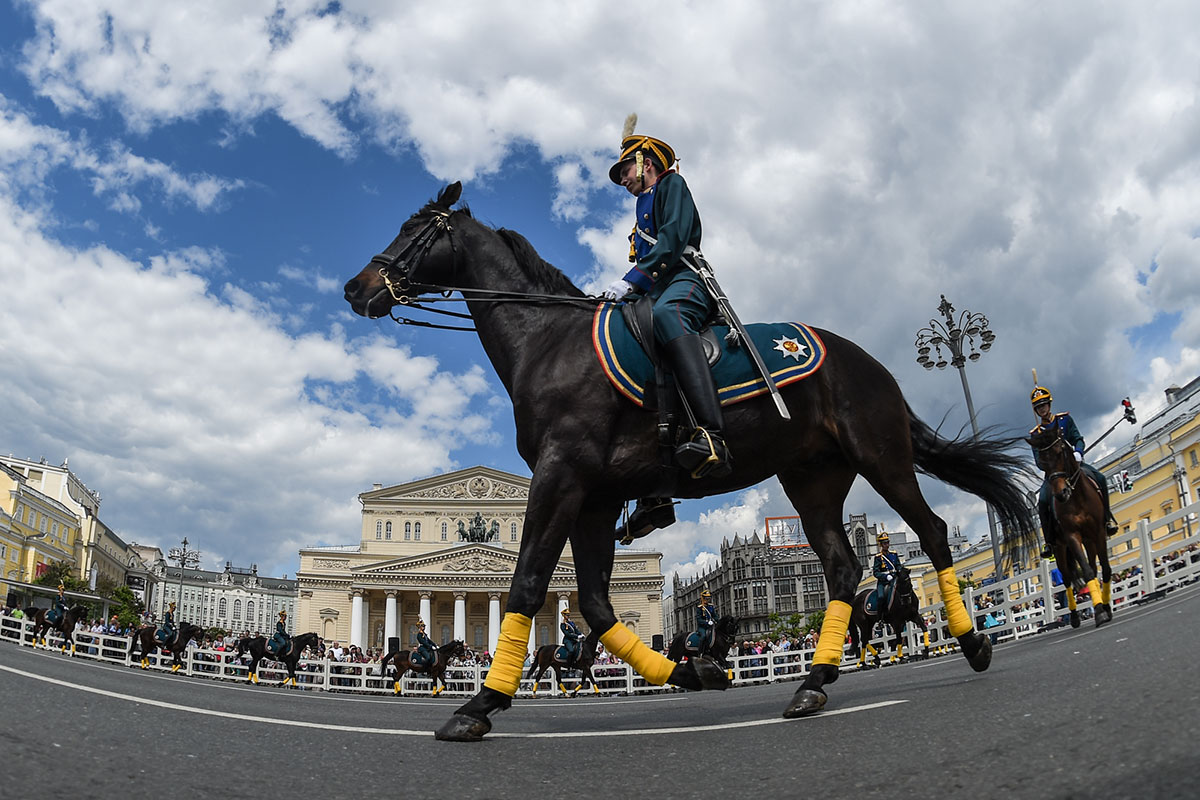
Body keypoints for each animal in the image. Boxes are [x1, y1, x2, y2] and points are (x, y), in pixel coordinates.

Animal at [343, 183, 1036, 743]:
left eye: (414, 230)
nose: (356, 288)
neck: (551, 344)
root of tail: (870, 362)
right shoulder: (594, 494)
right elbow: (595, 603)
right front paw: (693, 669)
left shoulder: (561, 476)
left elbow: (529, 583)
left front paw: (479, 705)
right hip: (811, 478)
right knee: (842, 568)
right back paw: (812, 682)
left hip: (881, 455)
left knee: (932, 532)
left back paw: (972, 641)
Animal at [1027, 429, 1108, 628]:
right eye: (1042, 461)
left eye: (1060, 452)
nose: (1061, 493)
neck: (1077, 498)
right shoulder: (1072, 537)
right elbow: (1086, 571)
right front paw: (1100, 612)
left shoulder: (1099, 532)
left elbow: (1103, 568)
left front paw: (1105, 607)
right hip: (1060, 548)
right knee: (1067, 578)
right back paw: (1074, 616)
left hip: (1089, 541)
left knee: (1093, 567)